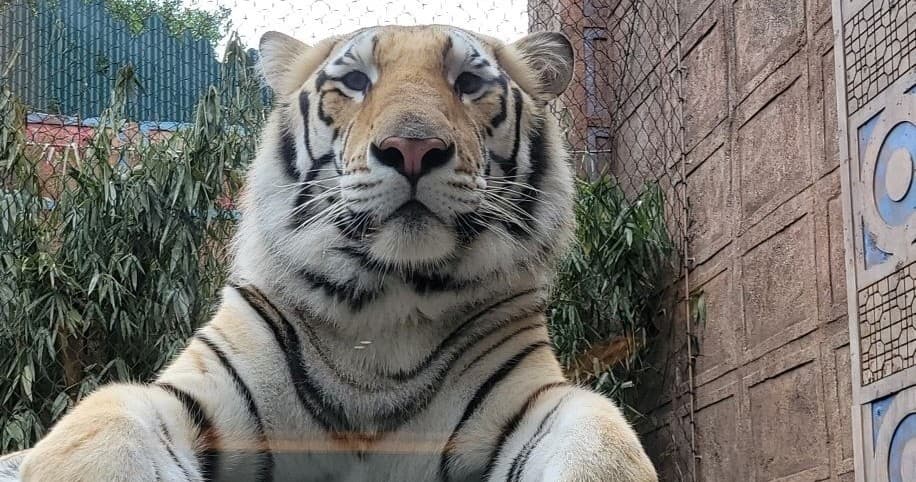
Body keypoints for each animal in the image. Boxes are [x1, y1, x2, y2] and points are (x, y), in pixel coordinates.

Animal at [0, 25, 658, 481]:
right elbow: (103, 422)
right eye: (357, 82)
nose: (412, 148)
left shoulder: (532, 402)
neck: (390, 302)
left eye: (469, 84)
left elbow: (603, 439)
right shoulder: (196, 392)